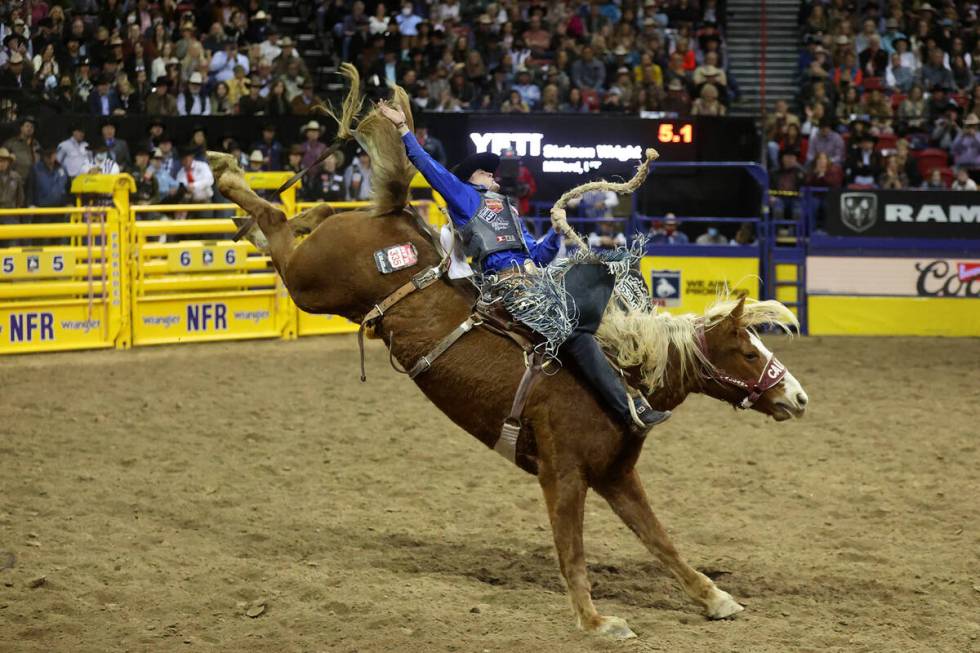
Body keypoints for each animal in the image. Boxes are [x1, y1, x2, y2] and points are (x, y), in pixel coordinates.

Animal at [205, 71, 804, 636]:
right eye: (748, 353)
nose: (798, 398)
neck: (618, 377)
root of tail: (397, 219)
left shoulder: (616, 475)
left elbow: (661, 541)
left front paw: (715, 598)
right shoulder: (563, 475)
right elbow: (572, 551)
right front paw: (598, 622)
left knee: (305, 216)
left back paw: (255, 208)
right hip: (313, 285)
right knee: (280, 233)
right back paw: (228, 174)